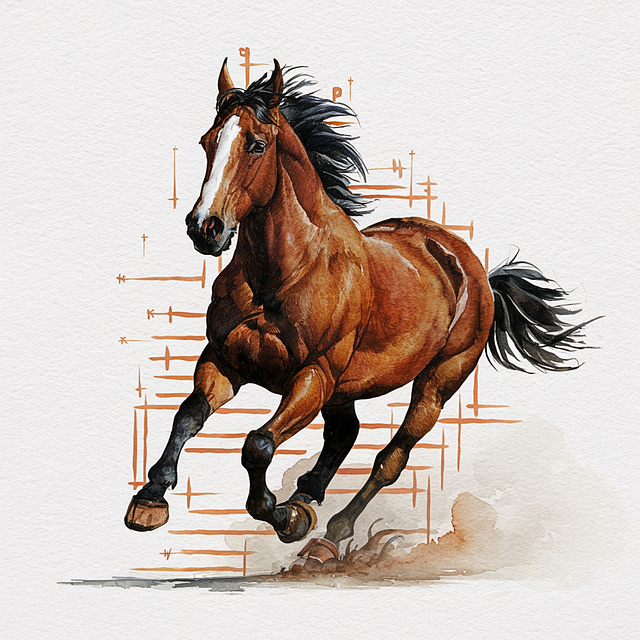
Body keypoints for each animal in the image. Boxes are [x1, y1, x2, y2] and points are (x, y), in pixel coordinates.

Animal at [125, 59, 595, 560]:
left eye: (256, 144)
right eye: (207, 141)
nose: (205, 228)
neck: (283, 271)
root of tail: (474, 271)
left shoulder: (313, 376)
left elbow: (257, 445)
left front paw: (285, 518)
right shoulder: (224, 360)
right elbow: (187, 416)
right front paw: (150, 501)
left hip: (438, 381)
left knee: (390, 458)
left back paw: (329, 535)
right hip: (346, 389)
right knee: (343, 435)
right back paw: (308, 495)